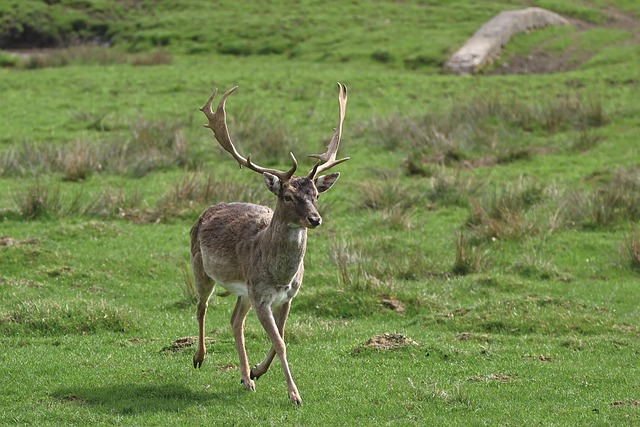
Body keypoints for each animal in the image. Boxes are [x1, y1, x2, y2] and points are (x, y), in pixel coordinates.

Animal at [190, 83, 348, 405]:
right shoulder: (260, 294)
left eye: (316, 194)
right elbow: (280, 341)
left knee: (235, 320)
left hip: (244, 292)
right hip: (201, 267)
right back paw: (199, 356)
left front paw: (257, 371)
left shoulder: (288, 296)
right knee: (202, 306)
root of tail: (206, 211)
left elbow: (280, 339)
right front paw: (294, 394)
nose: (315, 219)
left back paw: (245, 377)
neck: (279, 276)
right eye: (287, 196)